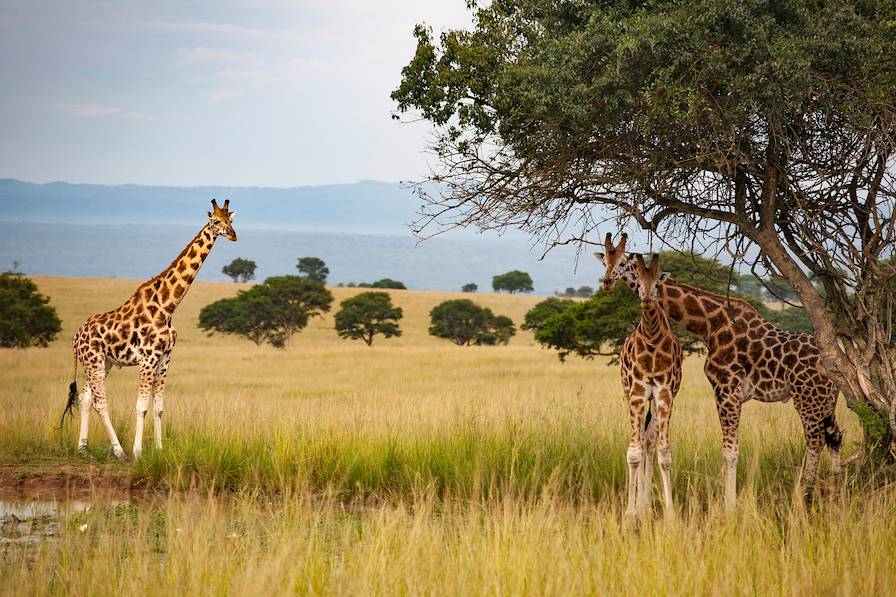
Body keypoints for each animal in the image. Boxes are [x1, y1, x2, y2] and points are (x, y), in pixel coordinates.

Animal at [63, 198, 238, 458]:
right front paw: (138, 452)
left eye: (231, 220)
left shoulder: (165, 358)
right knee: (100, 401)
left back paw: (83, 448)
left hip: (103, 362)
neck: (168, 306)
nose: (233, 235)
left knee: (85, 397)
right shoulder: (148, 358)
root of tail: (76, 337)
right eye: (216, 221)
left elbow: (158, 407)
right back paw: (120, 451)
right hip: (93, 361)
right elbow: (142, 406)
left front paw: (160, 449)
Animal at [596, 232, 840, 508]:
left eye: (624, 263)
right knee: (834, 437)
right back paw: (835, 488)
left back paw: (802, 495)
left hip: (808, 399)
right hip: (826, 401)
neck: (709, 324)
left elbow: (730, 451)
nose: (607, 281)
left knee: (815, 441)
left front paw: (729, 506)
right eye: (604, 260)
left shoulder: (726, 389)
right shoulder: (725, 392)